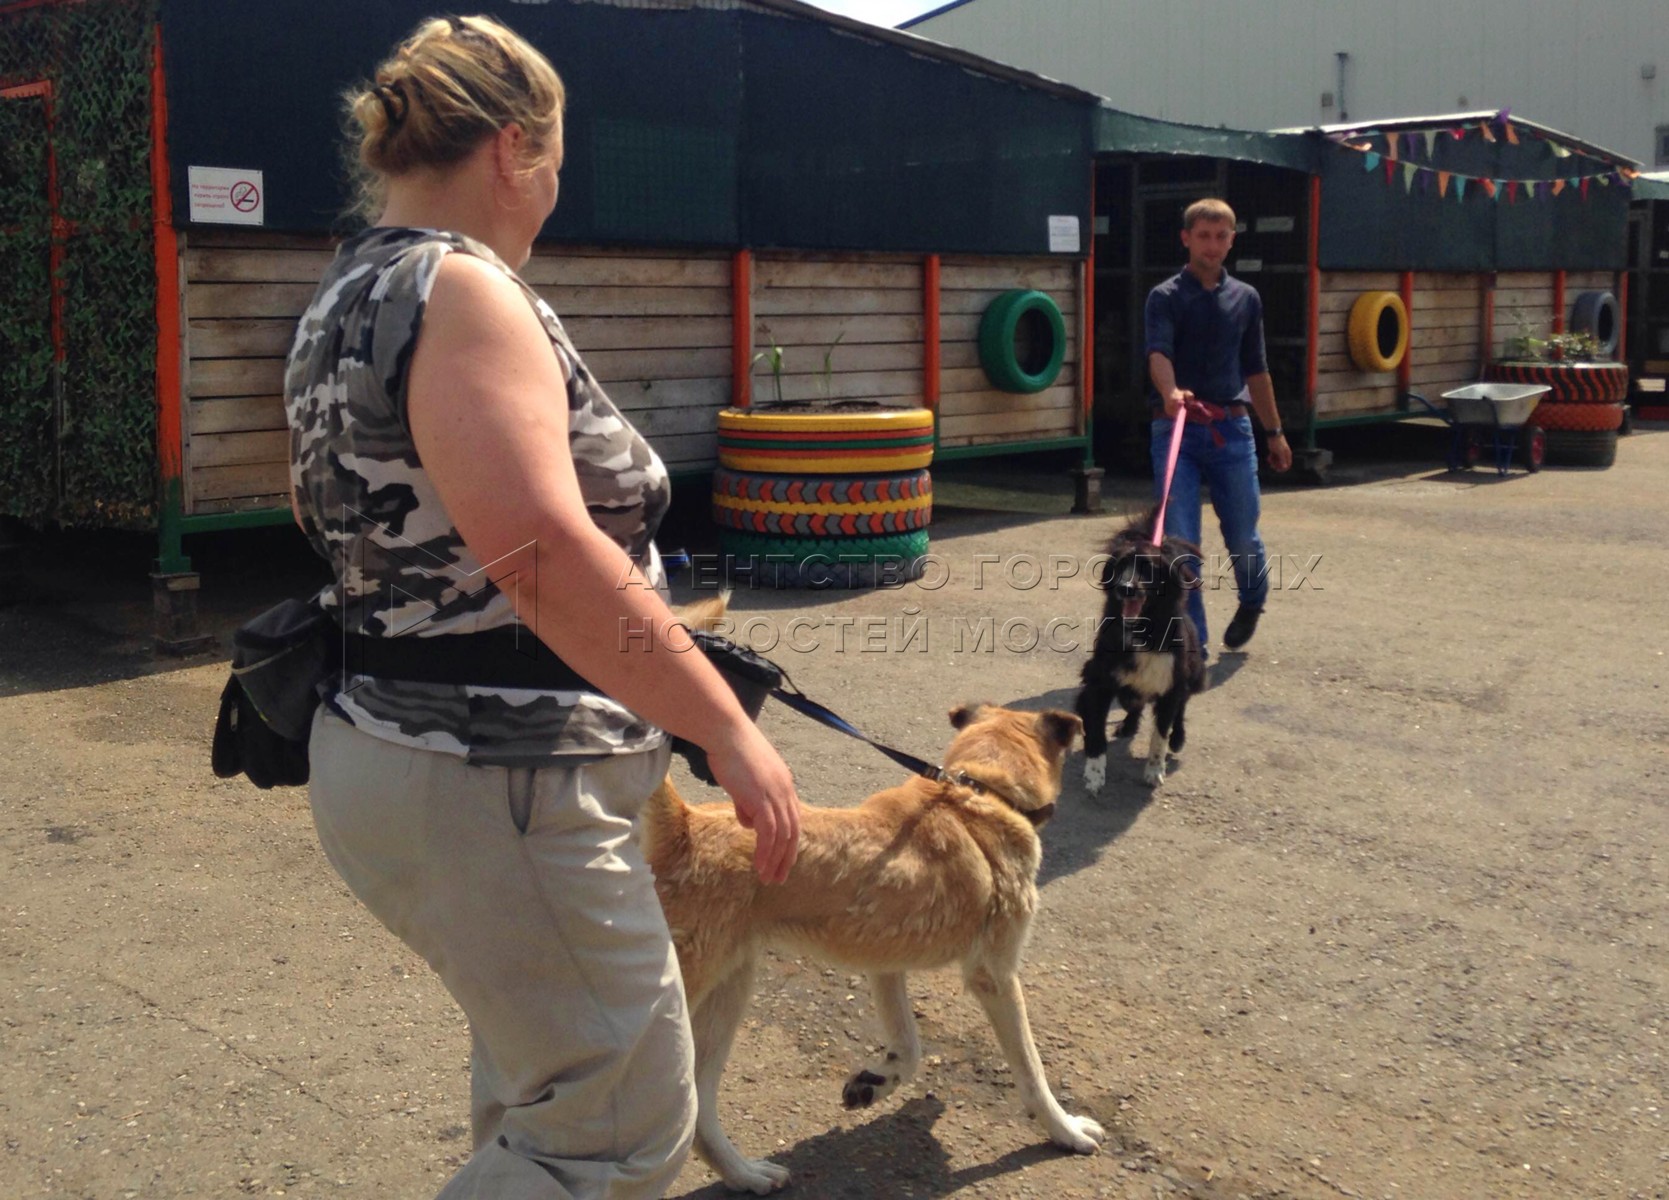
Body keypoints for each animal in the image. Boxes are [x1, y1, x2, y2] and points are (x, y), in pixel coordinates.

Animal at [644, 694, 1101, 1194]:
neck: (978, 794)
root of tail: (684, 829)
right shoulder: (995, 976)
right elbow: (1032, 1070)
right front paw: (1065, 1130)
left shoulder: (885, 965)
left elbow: (911, 1048)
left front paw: (874, 1082)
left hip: (731, 985)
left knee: (699, 1105)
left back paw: (745, 1175)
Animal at [1074, 514, 1208, 787]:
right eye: (1120, 566)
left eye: (1148, 568)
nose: (1125, 587)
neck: (1141, 631)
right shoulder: (1099, 683)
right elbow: (1096, 730)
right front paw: (1094, 773)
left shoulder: (1171, 684)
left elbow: (1160, 734)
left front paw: (1155, 770)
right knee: (1134, 704)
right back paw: (1128, 725)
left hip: (1193, 674)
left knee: (1181, 707)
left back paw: (1178, 737)